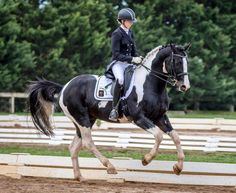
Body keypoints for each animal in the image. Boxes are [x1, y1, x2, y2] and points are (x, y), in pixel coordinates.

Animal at [28, 43, 190, 181]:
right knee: (88, 142)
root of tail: (64, 87)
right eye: (177, 62)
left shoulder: (160, 117)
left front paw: (178, 167)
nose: (184, 87)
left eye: (186, 61)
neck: (150, 84)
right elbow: (159, 136)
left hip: (86, 120)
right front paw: (146, 160)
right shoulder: (138, 117)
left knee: (74, 147)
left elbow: (176, 137)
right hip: (81, 119)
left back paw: (80, 177)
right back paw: (110, 166)